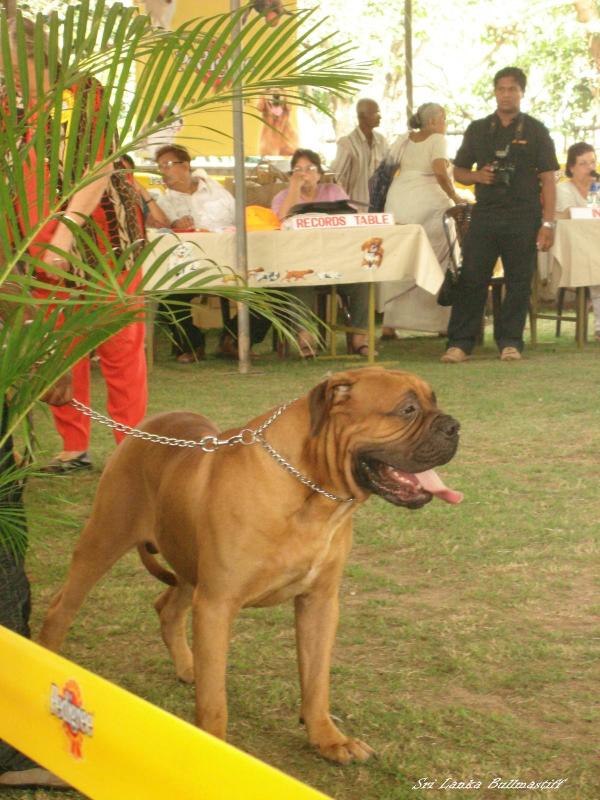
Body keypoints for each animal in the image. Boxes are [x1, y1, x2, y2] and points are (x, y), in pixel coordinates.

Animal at [39, 368, 462, 764]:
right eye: (407, 410)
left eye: (435, 402)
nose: (455, 426)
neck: (313, 494)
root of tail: (142, 429)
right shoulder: (217, 605)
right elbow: (214, 701)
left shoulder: (319, 602)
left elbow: (316, 681)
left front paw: (328, 739)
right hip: (103, 541)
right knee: (62, 607)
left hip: (189, 564)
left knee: (167, 608)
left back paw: (188, 666)